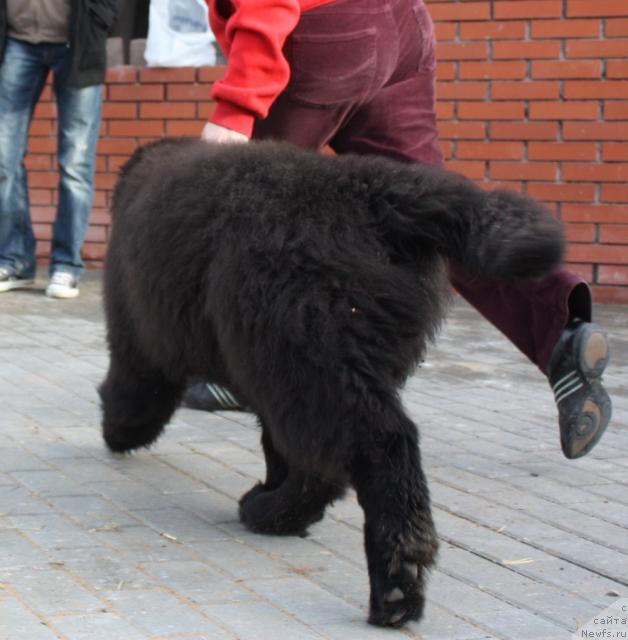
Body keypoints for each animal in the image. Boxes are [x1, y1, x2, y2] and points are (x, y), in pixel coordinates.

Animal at [99, 138, 564, 628]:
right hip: (302, 364)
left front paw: (119, 432)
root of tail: (380, 192)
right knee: (318, 456)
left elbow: (134, 389)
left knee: (372, 450)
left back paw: (387, 578)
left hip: (305, 353)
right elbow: (274, 446)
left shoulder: (138, 331)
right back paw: (277, 509)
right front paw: (270, 481)